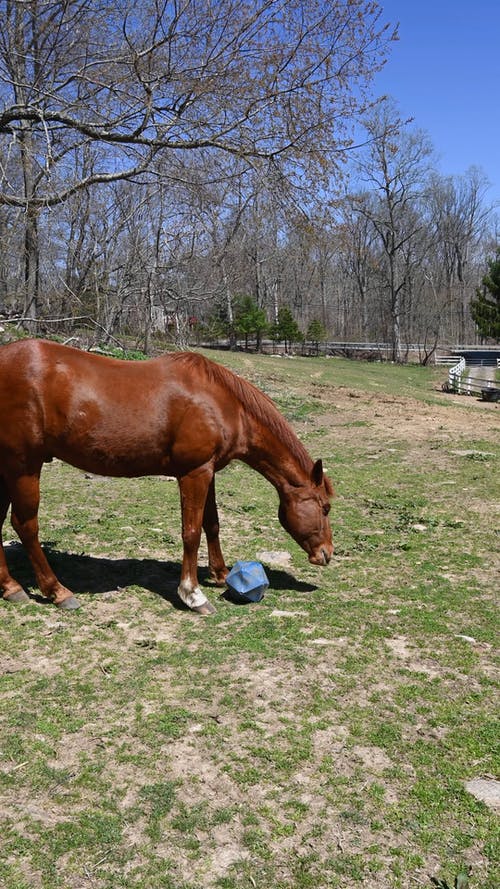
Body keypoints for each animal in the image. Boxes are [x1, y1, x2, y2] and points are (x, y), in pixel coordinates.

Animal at [0, 336, 336, 612]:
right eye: (325, 507)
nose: (327, 554)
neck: (224, 404)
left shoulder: (208, 471)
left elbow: (212, 524)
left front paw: (221, 574)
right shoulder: (193, 473)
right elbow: (191, 532)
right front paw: (193, 595)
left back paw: (11, 588)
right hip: (23, 466)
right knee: (25, 525)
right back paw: (57, 591)